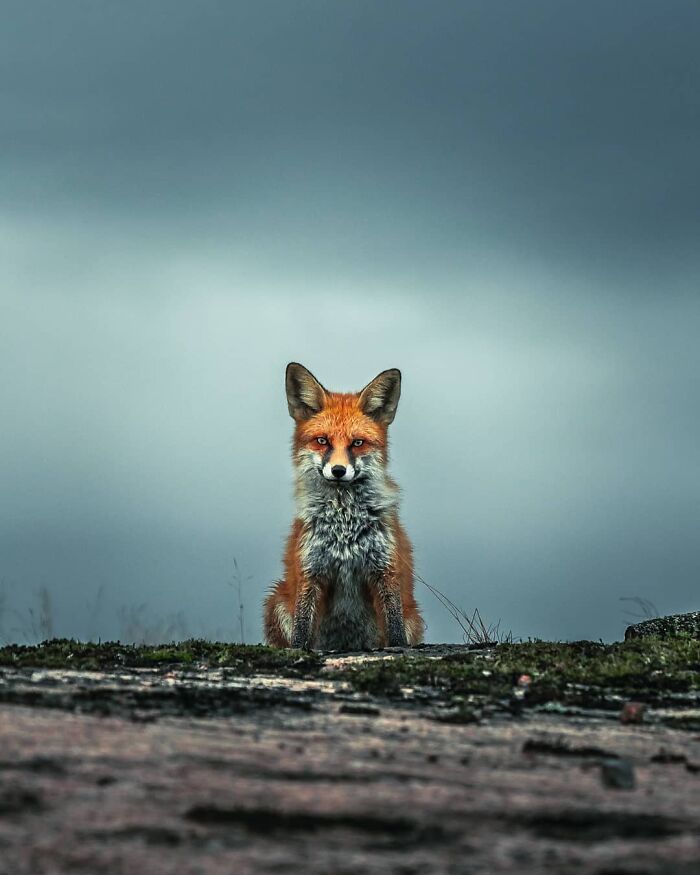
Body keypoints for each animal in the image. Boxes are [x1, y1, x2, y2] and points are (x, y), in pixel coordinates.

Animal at [263, 362, 424, 651]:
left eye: (357, 443)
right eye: (322, 441)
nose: (338, 470)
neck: (344, 524)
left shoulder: (385, 569)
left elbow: (394, 626)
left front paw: (397, 649)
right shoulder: (311, 570)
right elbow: (301, 630)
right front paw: (299, 650)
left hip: (413, 617)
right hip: (275, 600)